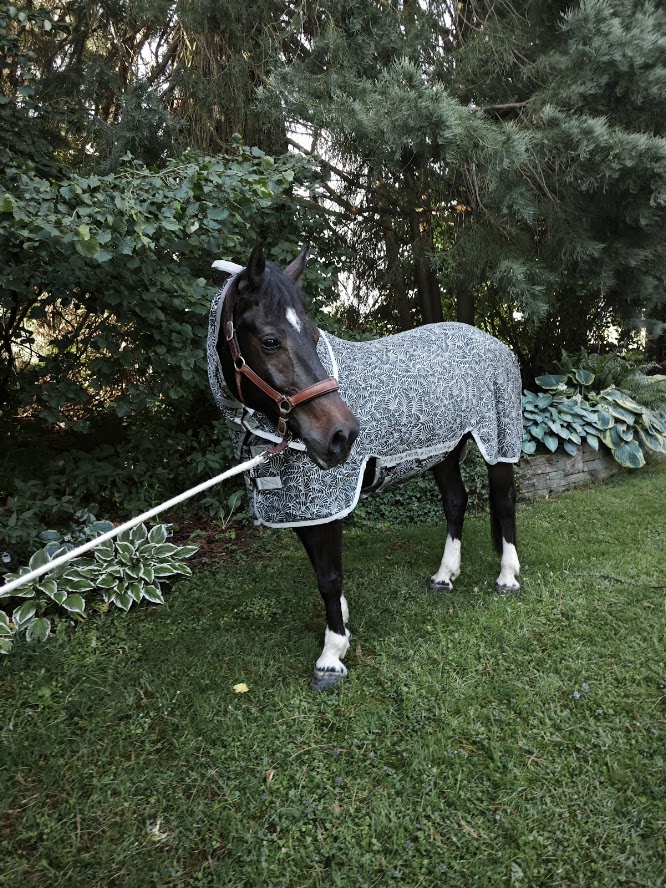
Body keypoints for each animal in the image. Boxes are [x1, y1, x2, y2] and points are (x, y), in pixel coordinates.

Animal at [208, 243, 523, 691]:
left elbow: (328, 576)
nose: (342, 434)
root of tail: (492, 341)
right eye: (269, 341)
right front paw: (341, 624)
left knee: (505, 502)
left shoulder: (325, 505)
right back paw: (444, 576)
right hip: (442, 451)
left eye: (315, 335)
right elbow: (322, 571)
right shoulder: (303, 509)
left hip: (498, 441)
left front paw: (331, 655)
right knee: (455, 503)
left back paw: (507, 578)